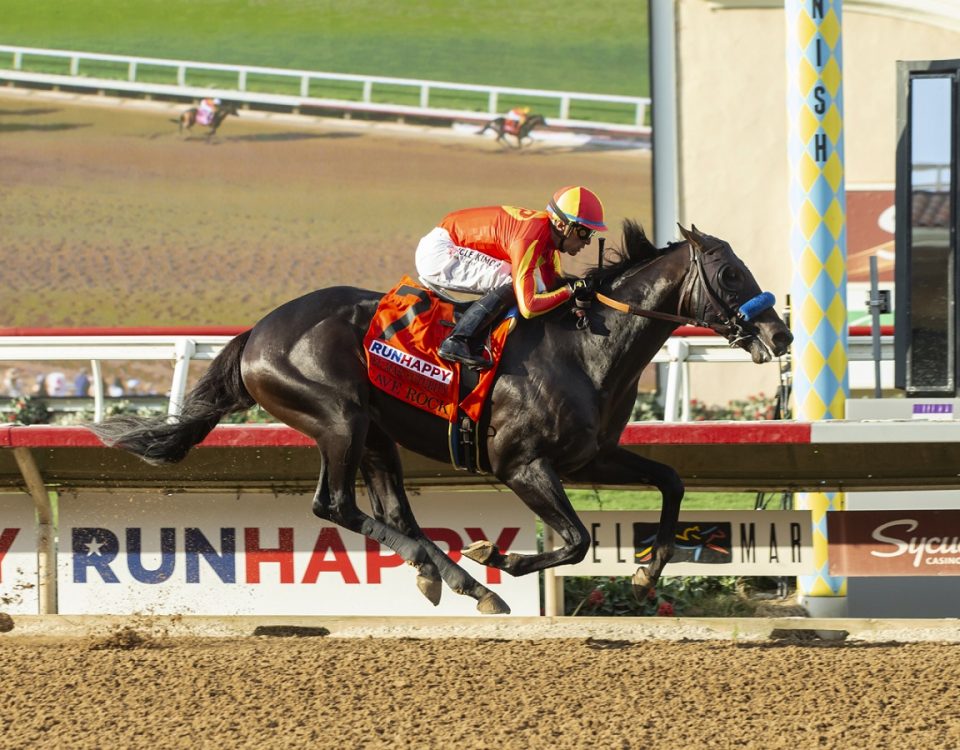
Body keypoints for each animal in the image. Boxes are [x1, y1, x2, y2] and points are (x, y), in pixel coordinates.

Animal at [90, 222, 792, 616]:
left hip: (374, 433)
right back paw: (466, 577)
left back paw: (450, 577)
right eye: (730, 272)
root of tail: (257, 333)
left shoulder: (590, 455)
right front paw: (500, 556)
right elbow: (576, 541)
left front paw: (649, 568)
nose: (780, 333)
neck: (585, 346)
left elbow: (671, 479)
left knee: (392, 514)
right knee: (334, 505)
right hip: (338, 417)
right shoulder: (521, 464)